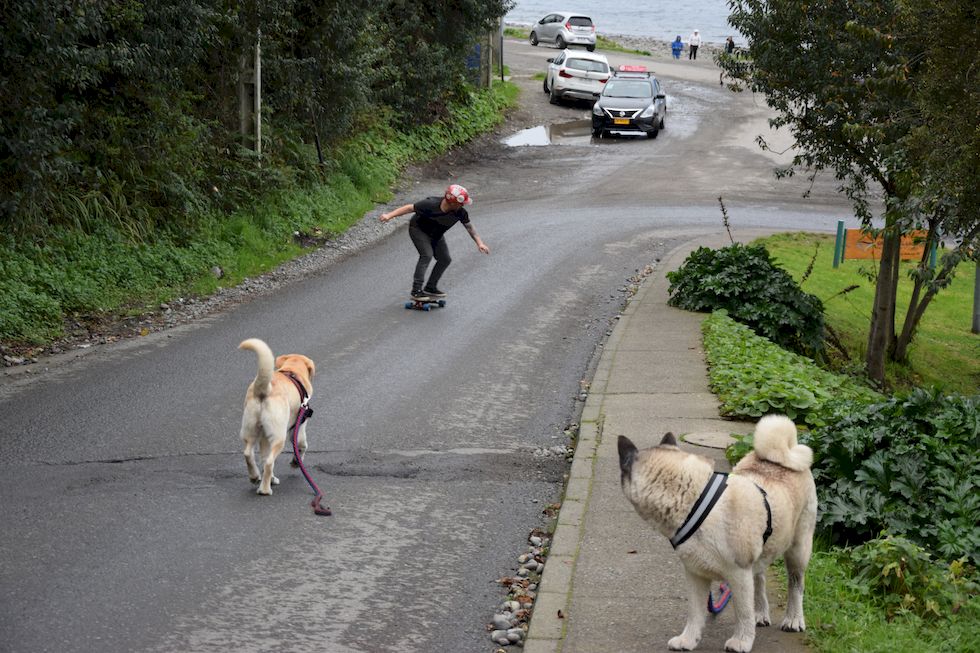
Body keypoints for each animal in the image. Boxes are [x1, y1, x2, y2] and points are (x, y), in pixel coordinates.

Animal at [237, 338, 314, 492]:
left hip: (251, 430)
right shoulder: (300, 425)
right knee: (269, 462)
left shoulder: (264, 437)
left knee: (250, 454)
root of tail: (264, 390)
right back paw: (265, 489)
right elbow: (302, 445)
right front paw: (296, 462)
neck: (292, 372)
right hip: (279, 436)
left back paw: (256, 477)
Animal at [620, 416, 820, 648]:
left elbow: (742, 613)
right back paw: (761, 613)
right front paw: (688, 639)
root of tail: (781, 456)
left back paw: (794, 619)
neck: (696, 501)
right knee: (759, 580)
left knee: (795, 584)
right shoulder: (695, 575)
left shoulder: (739, 574)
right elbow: (695, 613)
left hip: (798, 549)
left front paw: (742, 641)